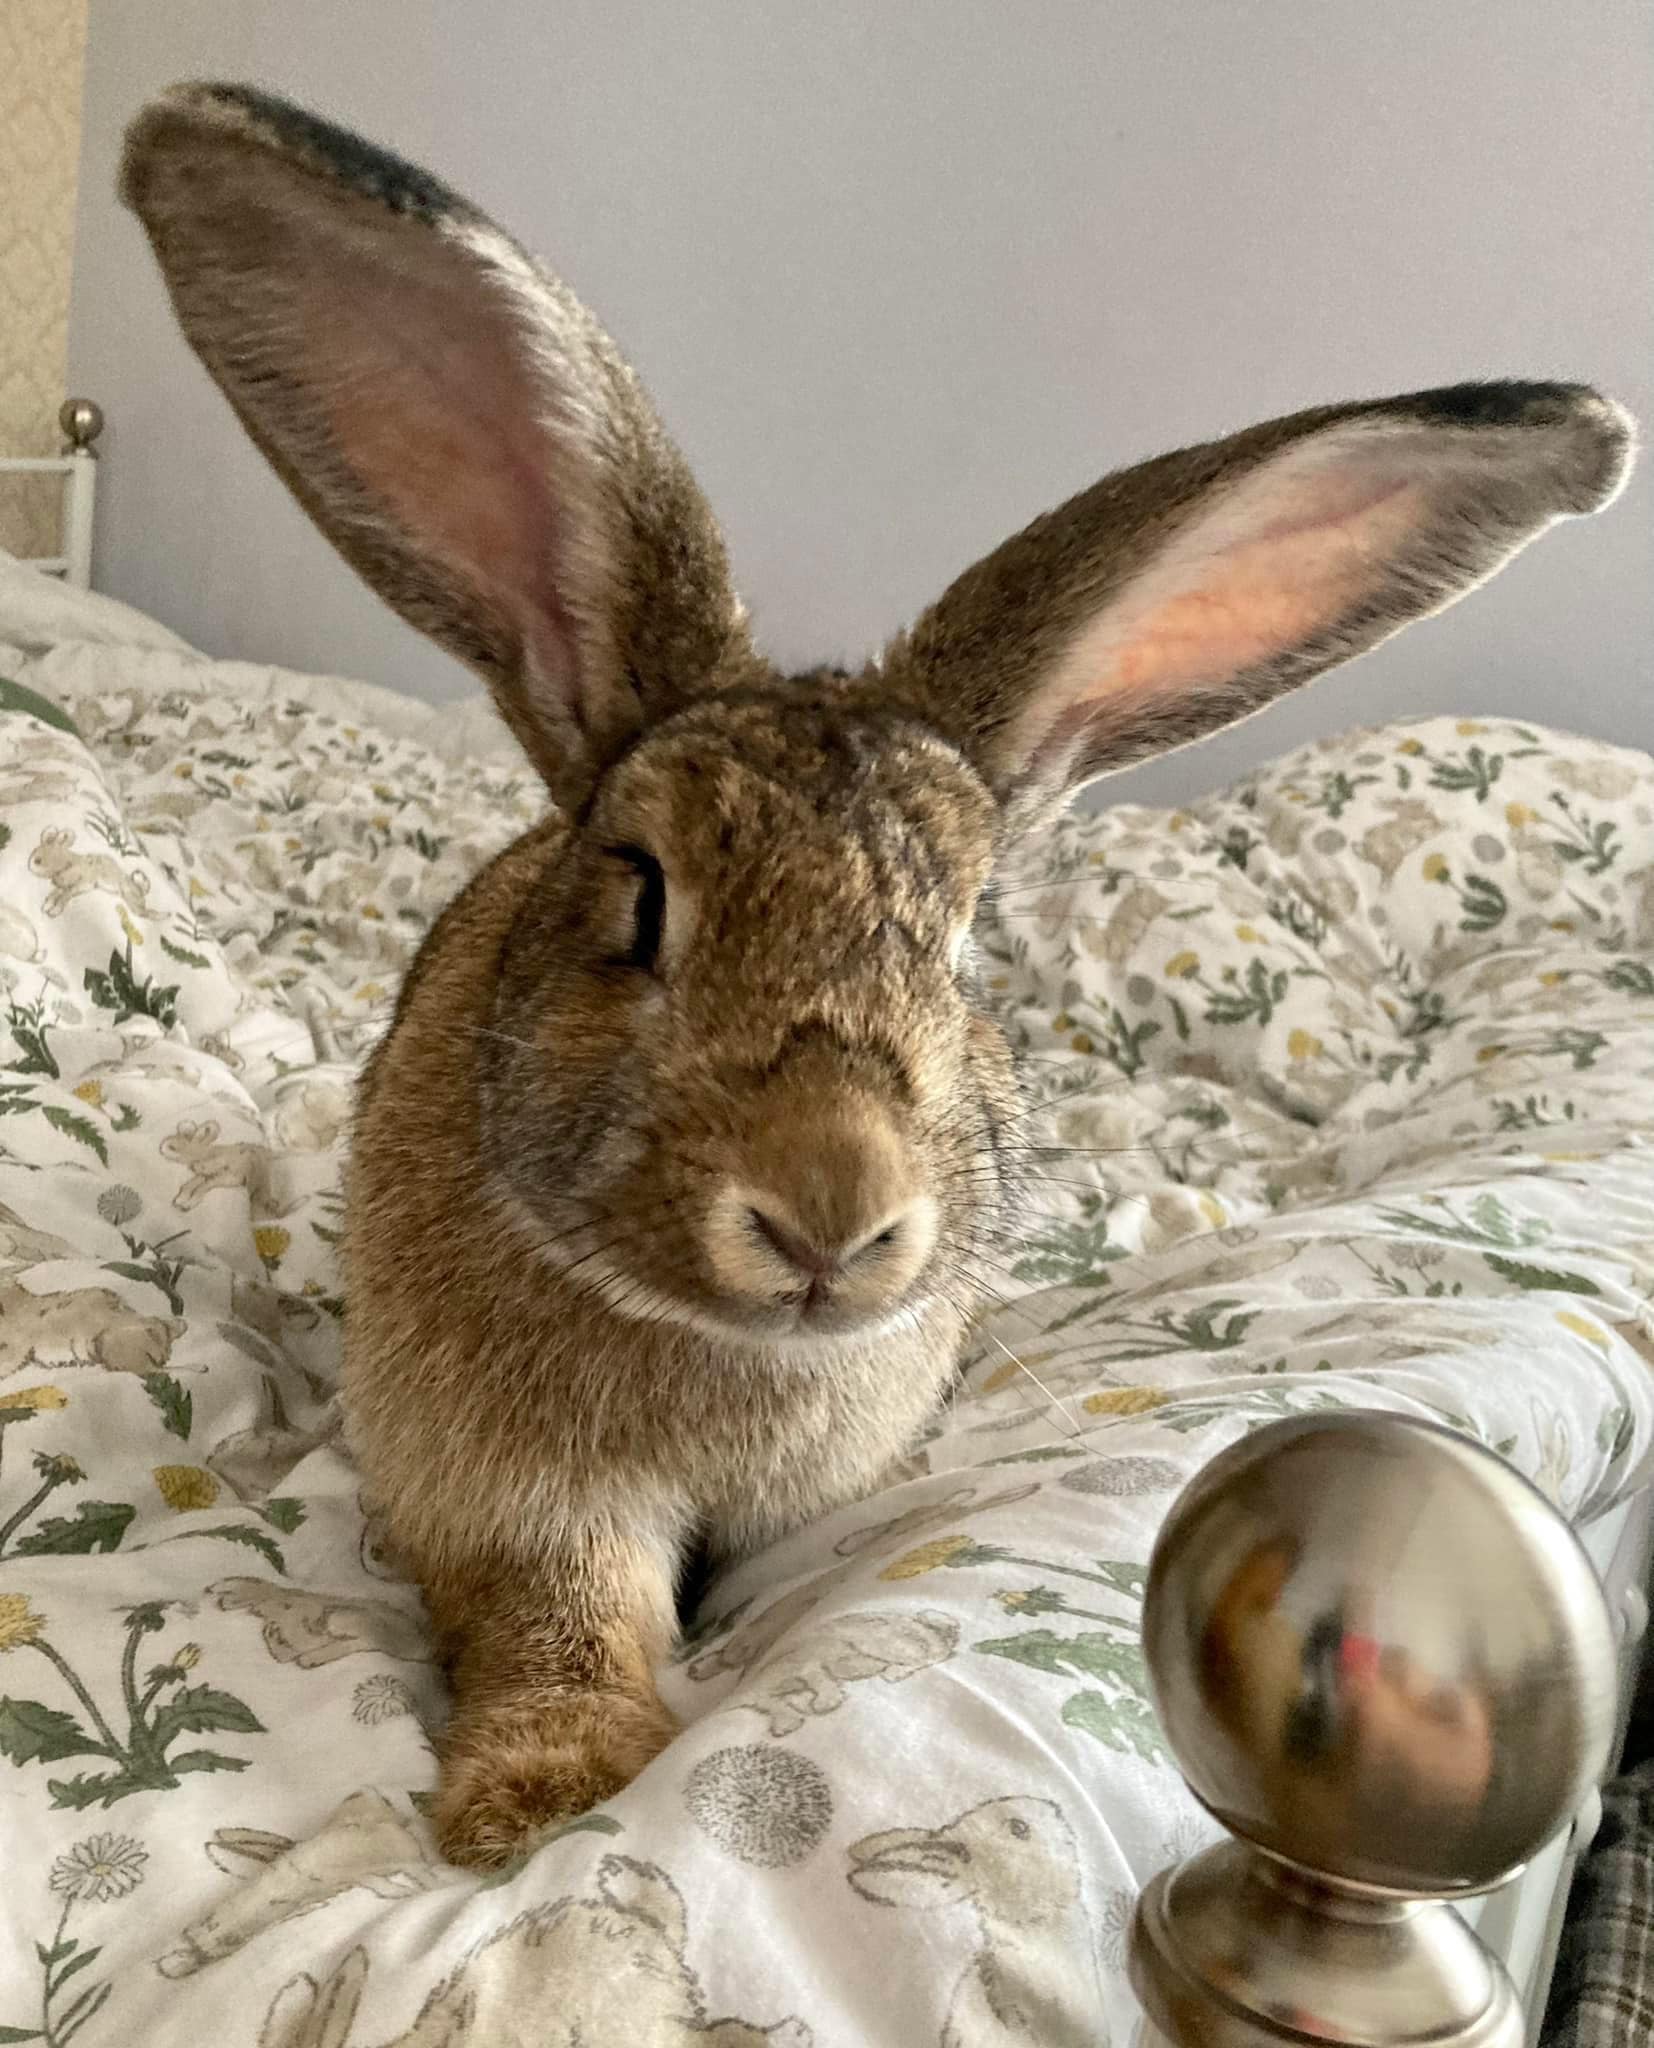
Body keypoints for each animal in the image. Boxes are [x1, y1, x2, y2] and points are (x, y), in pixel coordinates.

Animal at [121, 81, 1635, 1868]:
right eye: (640, 897)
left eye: (969, 938)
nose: (830, 1214)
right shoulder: (511, 1504)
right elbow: (556, 1619)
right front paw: (539, 1800)